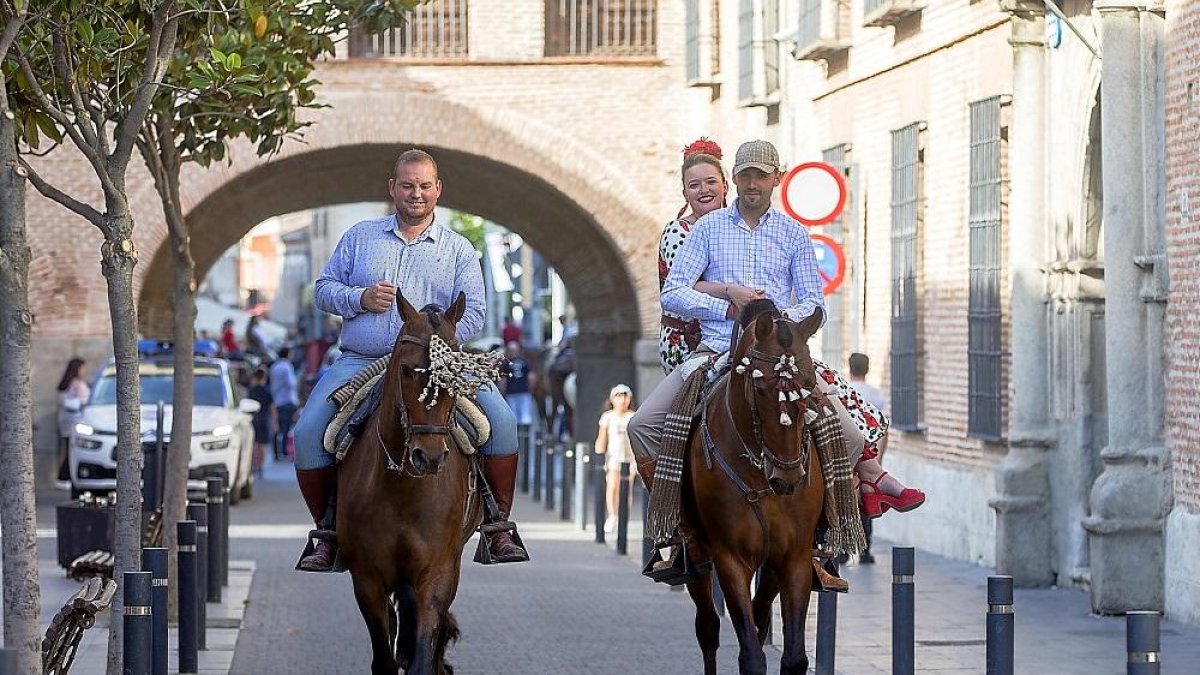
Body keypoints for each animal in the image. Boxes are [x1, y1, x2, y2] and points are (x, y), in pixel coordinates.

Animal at [338, 293, 482, 672]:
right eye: (405, 370)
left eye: (455, 374)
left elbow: (423, 654)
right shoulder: (367, 579)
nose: (428, 457)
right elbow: (383, 658)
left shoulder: (439, 571)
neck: (402, 488)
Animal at [686, 300, 825, 672]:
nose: (788, 476)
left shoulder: (795, 559)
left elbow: (793, 656)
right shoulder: (730, 559)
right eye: (761, 389)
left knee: (761, 617)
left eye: (810, 383)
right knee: (708, 628)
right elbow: (750, 654)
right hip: (696, 555)